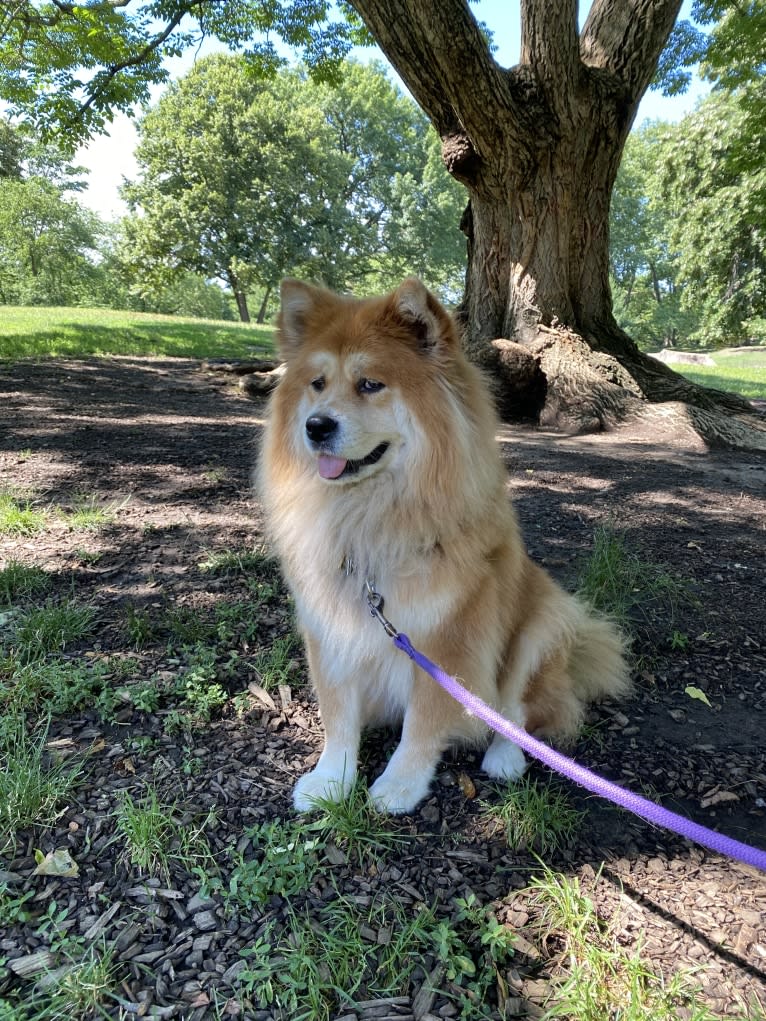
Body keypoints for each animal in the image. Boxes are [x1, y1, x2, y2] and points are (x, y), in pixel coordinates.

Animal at [258, 277, 629, 812]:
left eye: (370, 384)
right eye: (318, 384)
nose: (316, 426)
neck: (370, 519)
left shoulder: (447, 642)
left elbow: (423, 723)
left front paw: (399, 785)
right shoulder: (331, 631)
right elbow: (338, 716)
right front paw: (331, 780)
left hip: (541, 624)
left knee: (518, 710)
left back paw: (505, 757)